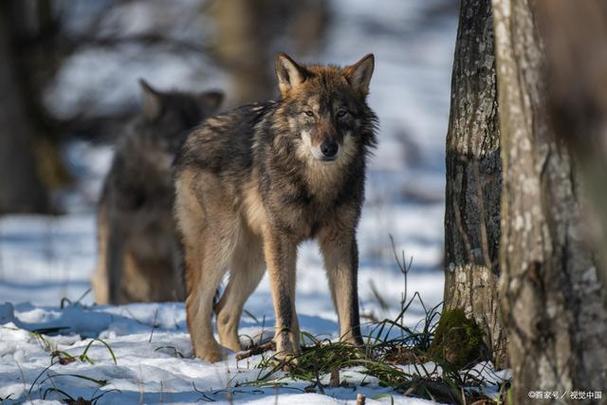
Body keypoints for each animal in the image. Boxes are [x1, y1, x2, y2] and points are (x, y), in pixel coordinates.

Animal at [94, 79, 227, 304]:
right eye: (179, 139)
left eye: (203, 138)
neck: (156, 192)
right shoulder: (117, 229)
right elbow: (113, 281)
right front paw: (113, 306)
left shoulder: (176, 235)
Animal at [173, 52, 378, 362]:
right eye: (309, 114)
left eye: (341, 114)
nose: (328, 148)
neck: (317, 183)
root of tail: (190, 138)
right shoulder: (282, 238)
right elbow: (283, 302)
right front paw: (286, 357)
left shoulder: (341, 239)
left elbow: (349, 304)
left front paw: (356, 352)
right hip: (226, 243)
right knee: (196, 303)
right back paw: (213, 357)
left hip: (256, 257)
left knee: (223, 311)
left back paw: (239, 356)